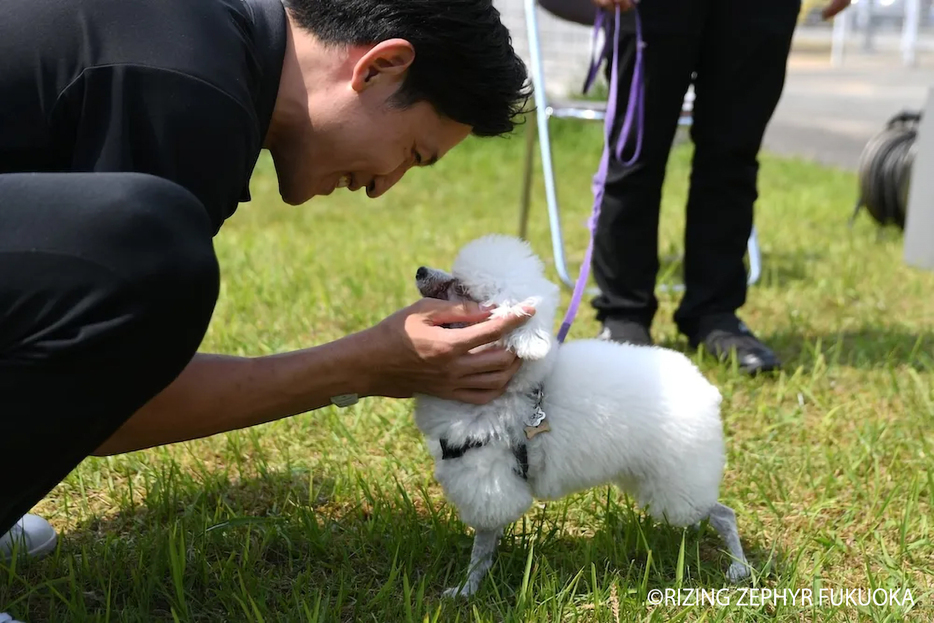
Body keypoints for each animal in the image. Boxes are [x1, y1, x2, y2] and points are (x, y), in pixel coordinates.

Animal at [416, 234, 752, 600]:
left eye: (462, 288)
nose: (420, 271)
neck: (516, 386)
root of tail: (706, 390)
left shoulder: (488, 485)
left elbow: (481, 547)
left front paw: (468, 589)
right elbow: (487, 544)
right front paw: (473, 585)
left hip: (679, 482)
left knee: (723, 515)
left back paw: (739, 567)